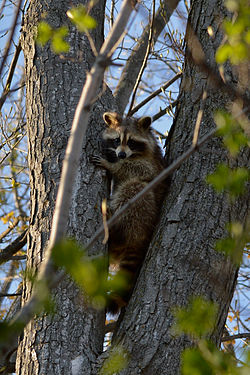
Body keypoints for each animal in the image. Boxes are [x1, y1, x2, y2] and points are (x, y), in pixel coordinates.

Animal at [93, 112, 165, 314]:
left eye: (131, 142)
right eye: (117, 140)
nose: (121, 154)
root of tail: (141, 235)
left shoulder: (151, 165)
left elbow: (139, 171)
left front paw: (112, 165)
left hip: (144, 211)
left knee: (135, 188)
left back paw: (112, 220)